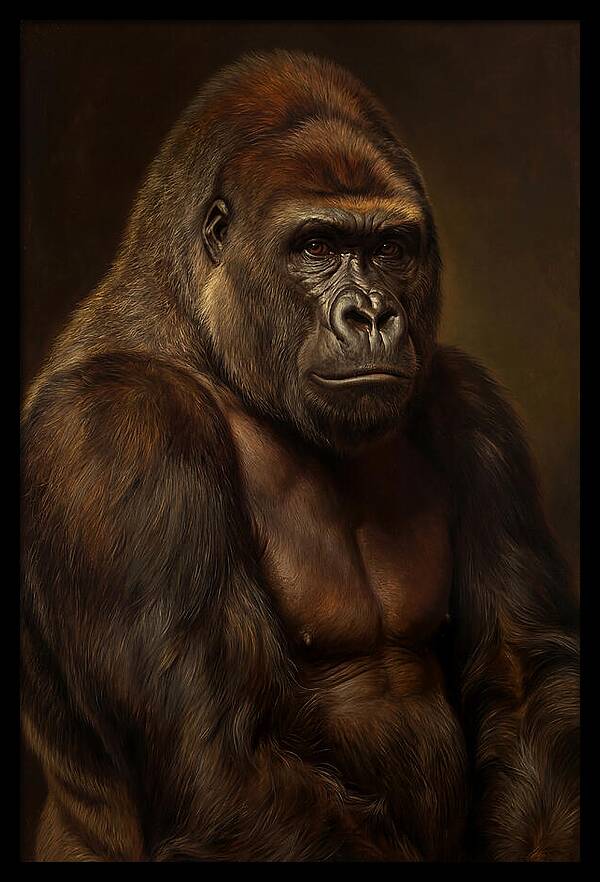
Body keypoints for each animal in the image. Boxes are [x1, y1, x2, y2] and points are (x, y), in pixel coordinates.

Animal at [21, 50, 579, 862]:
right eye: (316, 246)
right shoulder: (118, 428)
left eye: (389, 248)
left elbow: (522, 676)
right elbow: (220, 759)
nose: (372, 315)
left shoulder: (472, 406)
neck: (206, 341)